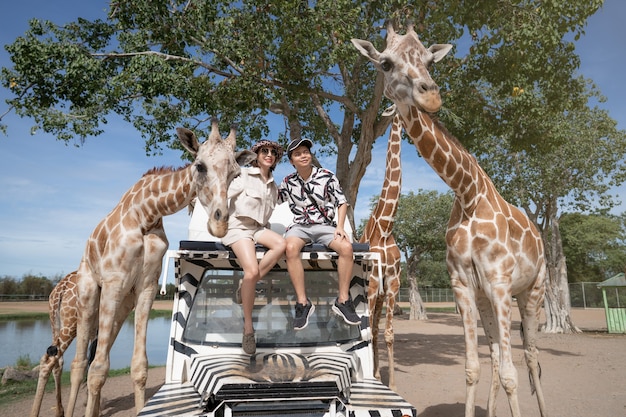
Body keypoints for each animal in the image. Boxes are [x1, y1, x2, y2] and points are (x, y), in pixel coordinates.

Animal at [67, 118, 255, 416]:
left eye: (235, 174)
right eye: (199, 166)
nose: (220, 224)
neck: (146, 213)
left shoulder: (146, 285)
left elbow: (138, 366)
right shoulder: (113, 280)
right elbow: (97, 369)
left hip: (123, 302)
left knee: (99, 352)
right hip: (90, 290)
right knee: (80, 363)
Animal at [352, 23, 544, 416]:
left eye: (429, 61)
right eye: (385, 63)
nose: (430, 97)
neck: (468, 192)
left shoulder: (497, 283)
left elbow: (509, 372)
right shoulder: (461, 285)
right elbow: (472, 367)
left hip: (533, 289)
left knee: (530, 356)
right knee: (497, 353)